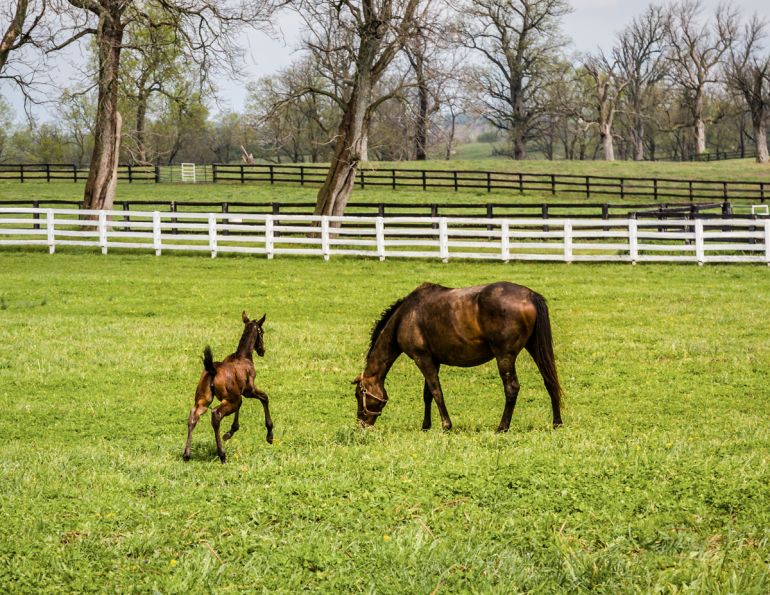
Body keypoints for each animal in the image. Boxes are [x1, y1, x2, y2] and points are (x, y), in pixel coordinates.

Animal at [183, 311, 273, 463]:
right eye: (262, 332)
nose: (262, 350)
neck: (243, 356)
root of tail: (212, 371)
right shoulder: (248, 390)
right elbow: (265, 398)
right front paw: (270, 436)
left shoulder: (239, 392)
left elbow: (240, 408)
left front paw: (231, 431)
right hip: (230, 399)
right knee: (216, 414)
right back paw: (222, 455)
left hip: (204, 400)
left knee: (193, 415)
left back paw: (186, 455)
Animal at [353, 282, 563, 431]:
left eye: (358, 395)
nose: (361, 425)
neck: (406, 316)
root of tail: (530, 295)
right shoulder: (433, 360)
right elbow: (427, 394)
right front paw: (426, 426)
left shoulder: (422, 358)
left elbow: (436, 391)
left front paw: (446, 425)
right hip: (535, 350)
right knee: (549, 381)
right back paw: (557, 422)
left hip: (505, 356)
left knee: (511, 388)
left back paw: (502, 427)